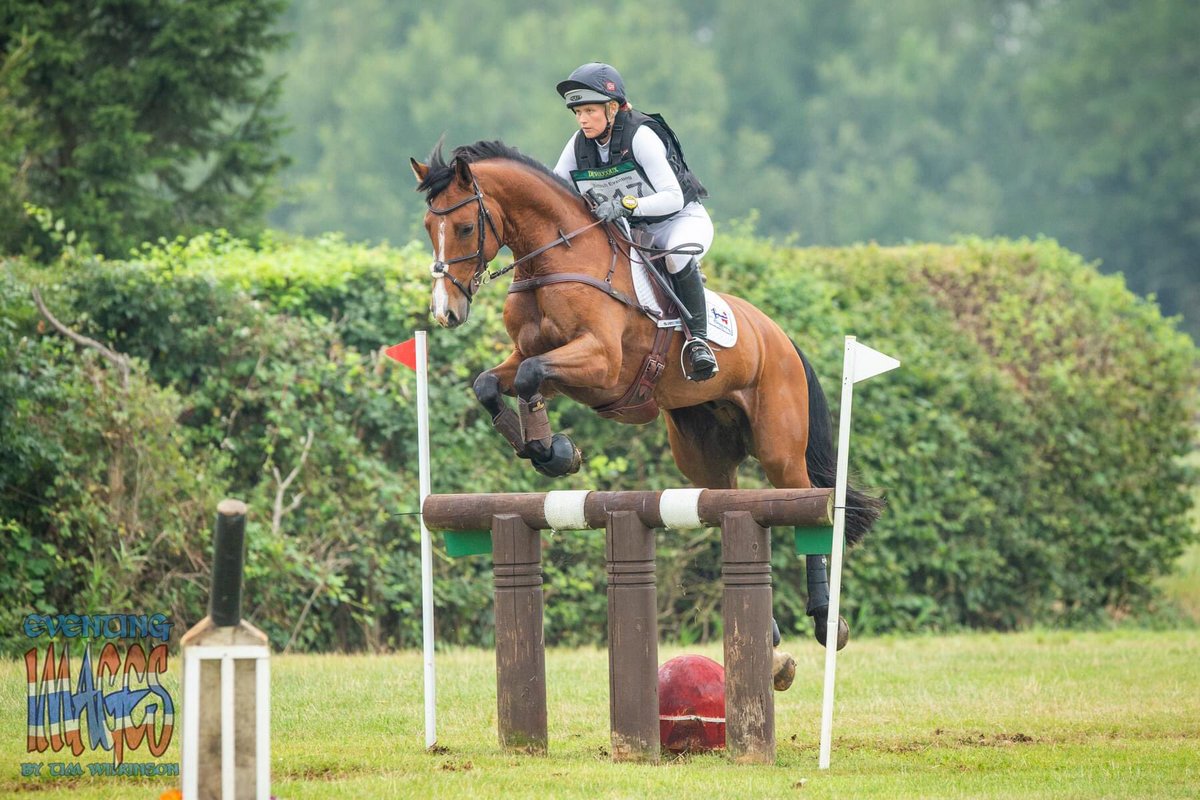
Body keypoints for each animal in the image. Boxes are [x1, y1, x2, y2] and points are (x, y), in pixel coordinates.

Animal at [409, 140, 882, 683]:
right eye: (427, 226)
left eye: (466, 227)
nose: (446, 312)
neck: (556, 261)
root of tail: (778, 336)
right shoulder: (530, 356)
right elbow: (492, 382)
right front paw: (547, 449)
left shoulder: (600, 362)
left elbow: (530, 374)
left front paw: (553, 450)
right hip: (703, 457)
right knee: (729, 512)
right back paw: (775, 645)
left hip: (779, 449)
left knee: (807, 508)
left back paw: (827, 620)